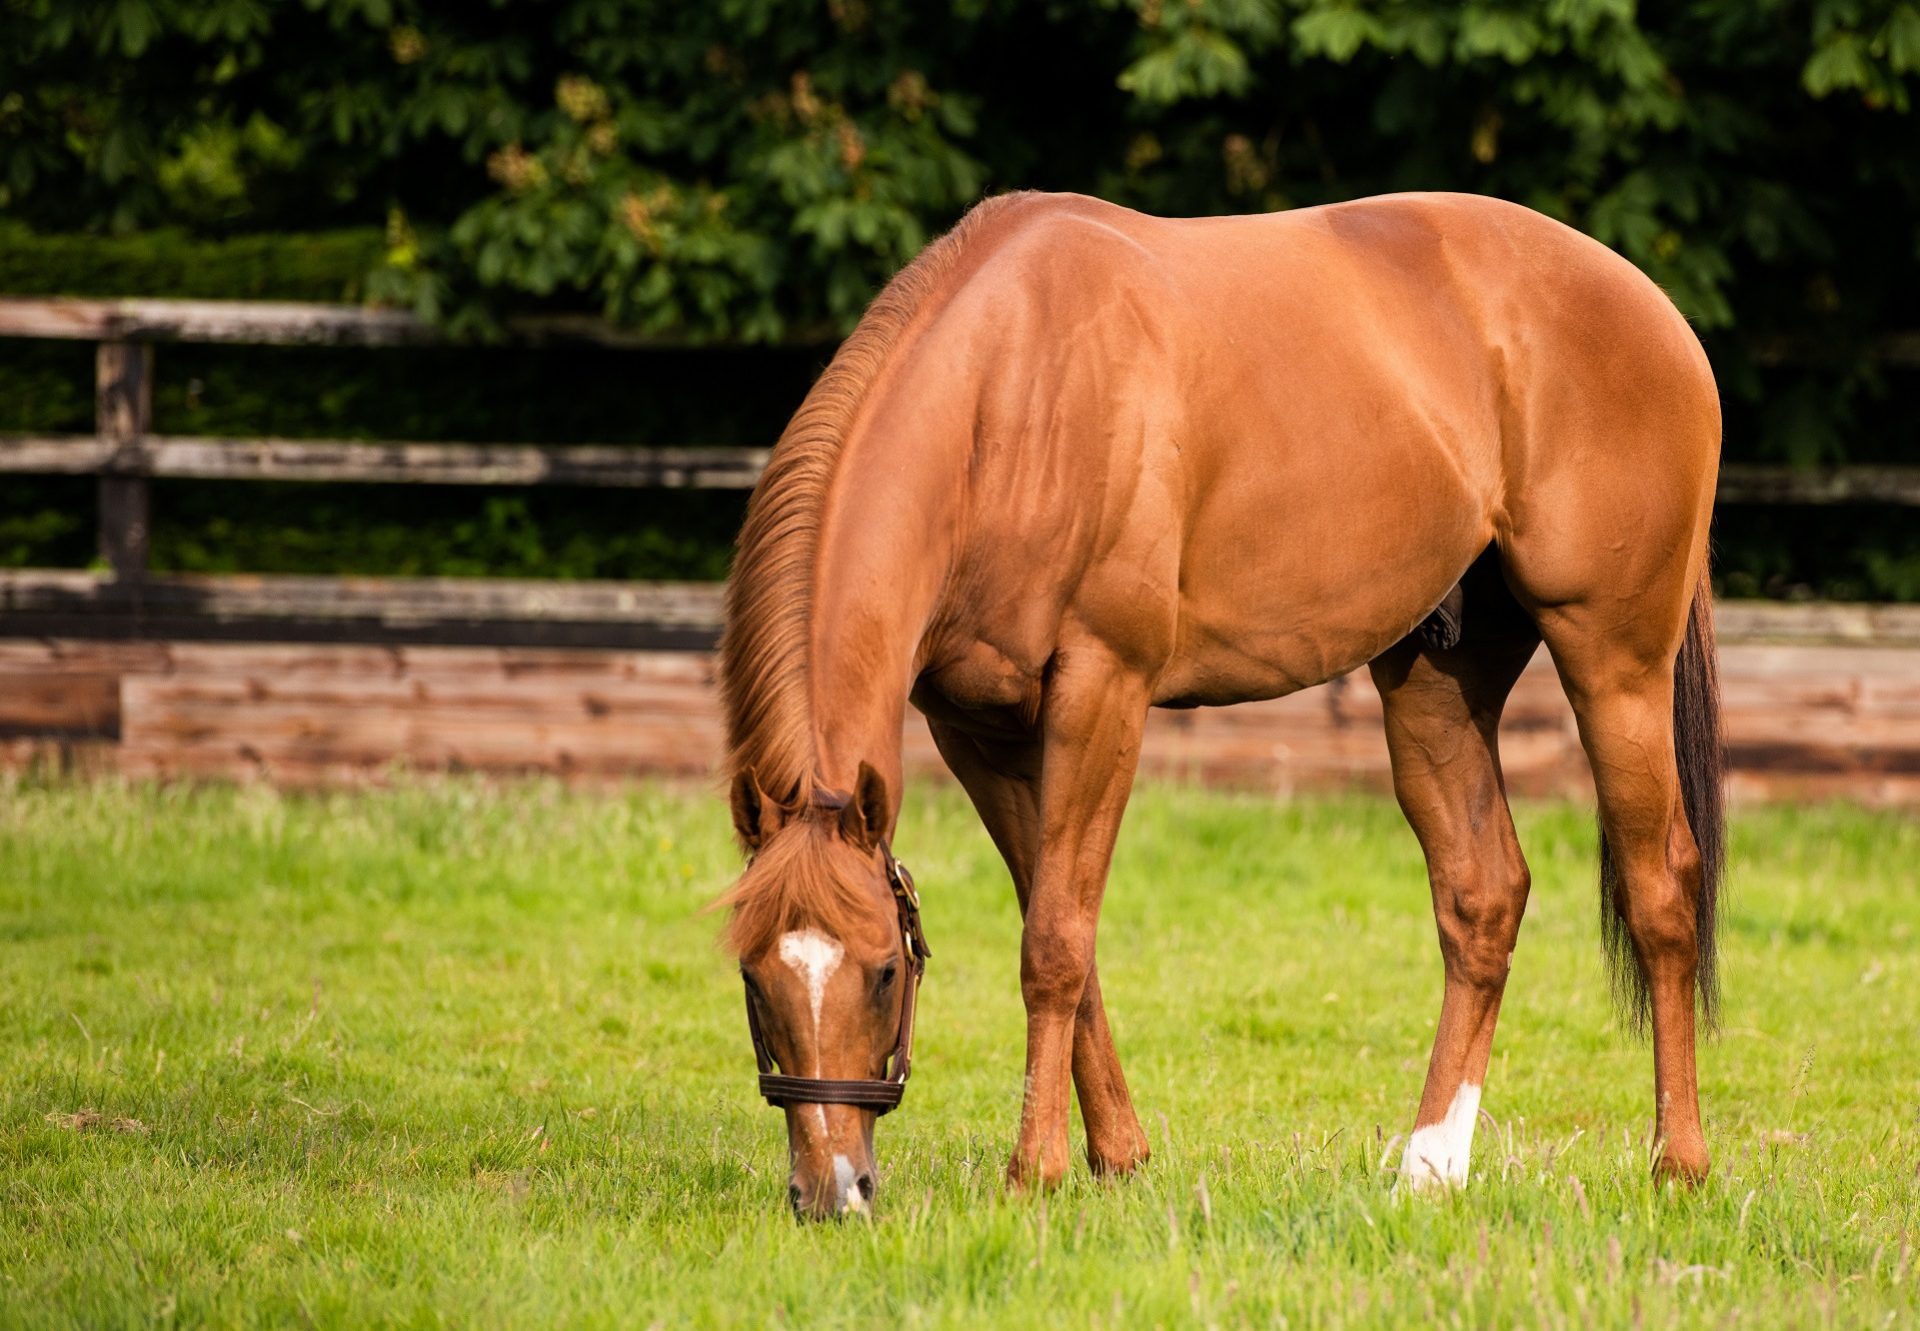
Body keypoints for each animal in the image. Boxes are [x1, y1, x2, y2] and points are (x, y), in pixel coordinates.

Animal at [718, 187, 1728, 1213]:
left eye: (886, 971)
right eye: (754, 978)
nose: (832, 1190)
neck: (1012, 397)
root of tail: (1656, 312)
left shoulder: (1104, 688)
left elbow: (1055, 942)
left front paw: (1035, 1170)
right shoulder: (978, 732)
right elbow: (1062, 929)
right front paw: (1117, 1154)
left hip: (1614, 662)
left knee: (1661, 890)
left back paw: (1678, 1163)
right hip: (1435, 682)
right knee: (1482, 895)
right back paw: (1430, 1166)